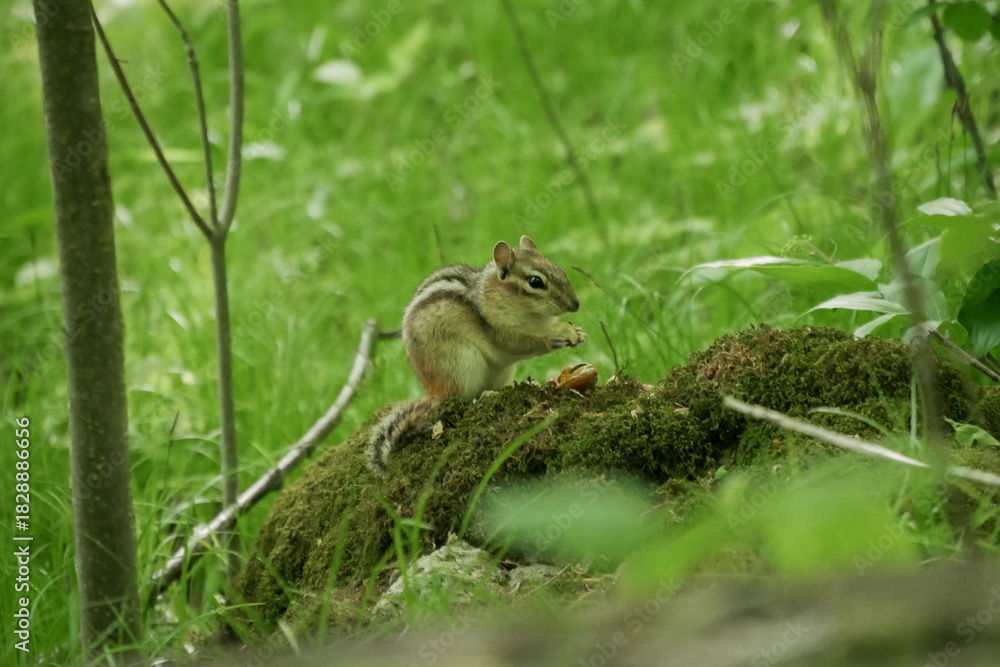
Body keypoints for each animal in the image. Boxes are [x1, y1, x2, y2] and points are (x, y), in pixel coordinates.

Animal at [366, 235, 585, 476]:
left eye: (560, 270)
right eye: (535, 281)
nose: (575, 305)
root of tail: (432, 394)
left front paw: (578, 333)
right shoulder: (499, 330)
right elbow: (517, 344)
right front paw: (552, 339)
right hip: (461, 363)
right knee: (460, 399)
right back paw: (482, 397)